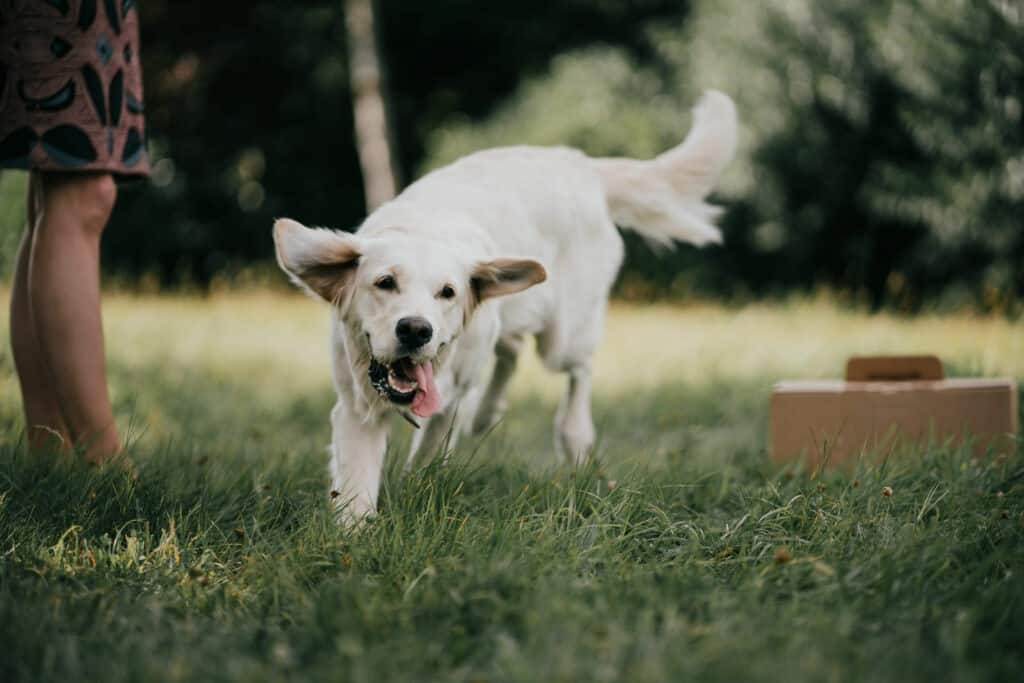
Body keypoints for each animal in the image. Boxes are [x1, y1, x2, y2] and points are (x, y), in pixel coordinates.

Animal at [272, 88, 737, 520]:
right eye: (385, 282)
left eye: (447, 292)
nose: (416, 329)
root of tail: (578, 162)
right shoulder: (357, 408)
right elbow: (356, 485)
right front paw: (355, 535)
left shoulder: (446, 401)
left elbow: (425, 456)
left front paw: (413, 492)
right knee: (510, 350)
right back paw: (487, 412)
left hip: (562, 337)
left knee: (577, 370)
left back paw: (573, 435)